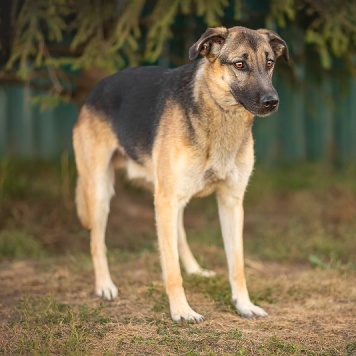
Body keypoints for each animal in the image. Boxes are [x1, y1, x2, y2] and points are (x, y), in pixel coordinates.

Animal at [73, 25, 290, 322]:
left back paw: (194, 268)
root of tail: (95, 89)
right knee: (97, 242)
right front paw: (181, 310)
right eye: (240, 64)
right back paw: (105, 285)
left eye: (269, 63)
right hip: (101, 191)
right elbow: (171, 269)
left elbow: (237, 265)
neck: (220, 114)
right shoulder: (166, 199)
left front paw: (244, 304)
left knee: (177, 234)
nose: (272, 102)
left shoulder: (231, 202)